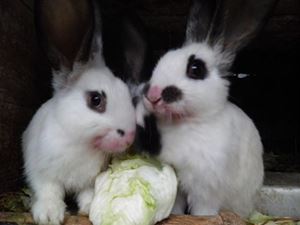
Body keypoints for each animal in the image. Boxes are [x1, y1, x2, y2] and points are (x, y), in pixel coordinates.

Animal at [22, 0, 135, 224]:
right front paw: (49, 215)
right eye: (96, 100)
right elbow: (48, 191)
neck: (79, 142)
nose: (129, 137)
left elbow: (87, 193)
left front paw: (90, 207)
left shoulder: (89, 181)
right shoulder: (41, 172)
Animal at [139, 0, 278, 217]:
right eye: (163, 59)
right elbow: (176, 205)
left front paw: (202, 218)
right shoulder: (177, 181)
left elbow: (203, 210)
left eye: (196, 69)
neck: (188, 122)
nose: (153, 94)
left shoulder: (206, 189)